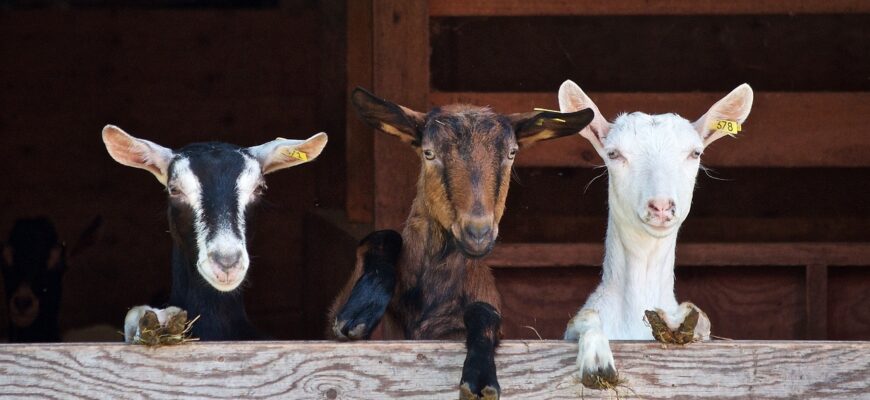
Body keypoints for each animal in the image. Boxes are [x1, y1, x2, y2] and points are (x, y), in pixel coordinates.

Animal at [330, 87, 596, 400]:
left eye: (512, 153)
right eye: (429, 152)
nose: (478, 232)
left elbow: (484, 313)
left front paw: (480, 378)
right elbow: (383, 237)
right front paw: (360, 310)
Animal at [560, 79, 756, 390]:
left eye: (695, 153)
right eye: (613, 153)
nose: (661, 206)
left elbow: (701, 319)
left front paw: (677, 322)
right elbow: (585, 317)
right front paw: (597, 361)